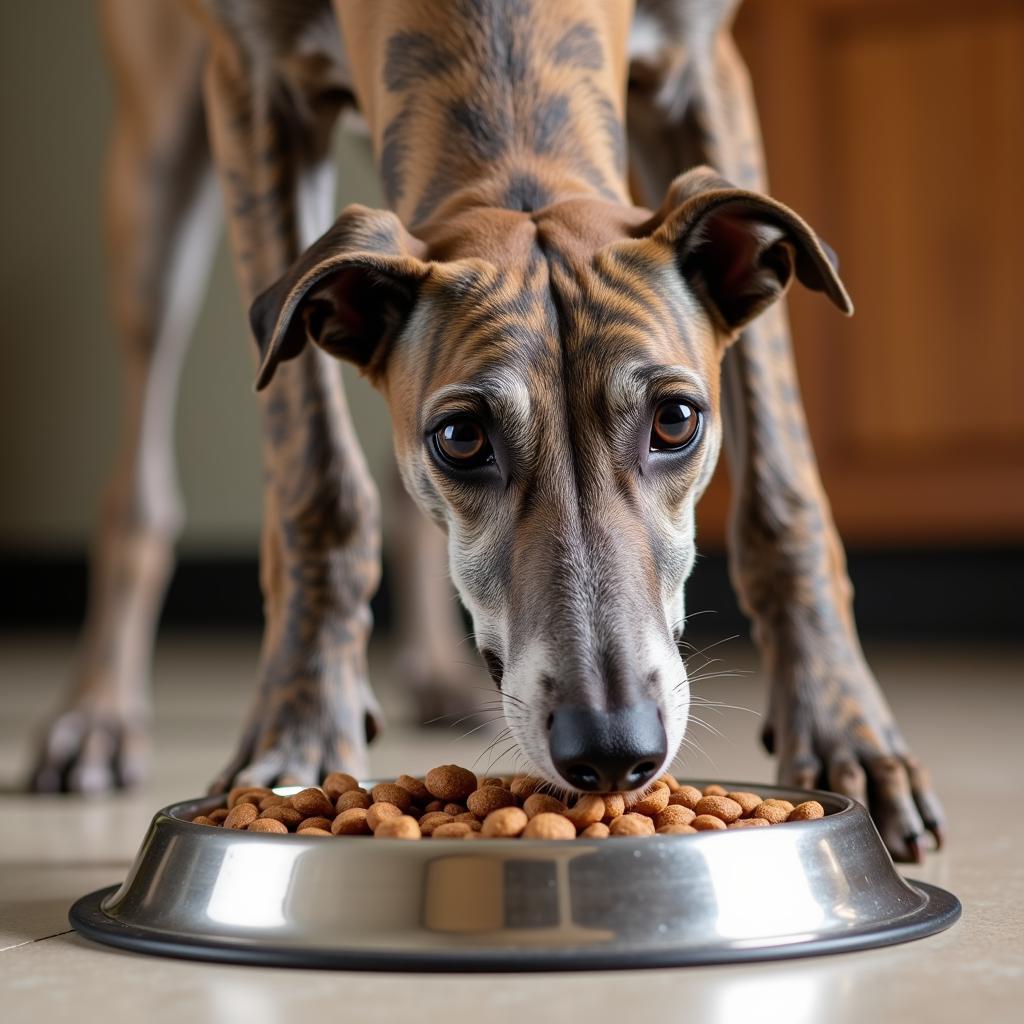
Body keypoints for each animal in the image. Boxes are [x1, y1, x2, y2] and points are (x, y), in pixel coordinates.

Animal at [32, 2, 942, 864]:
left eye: (676, 420)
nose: (613, 749)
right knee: (140, 471)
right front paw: (301, 733)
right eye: (462, 438)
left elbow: (783, 484)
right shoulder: (253, 85)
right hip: (155, 174)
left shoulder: (704, 69)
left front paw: (845, 735)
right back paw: (95, 716)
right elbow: (316, 483)